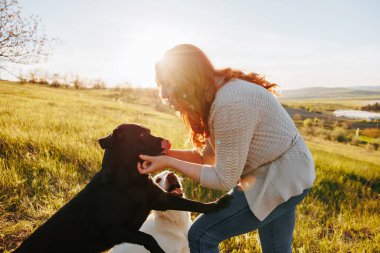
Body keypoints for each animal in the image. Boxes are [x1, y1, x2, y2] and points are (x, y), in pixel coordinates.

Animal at [13, 123, 230, 252]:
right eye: (142, 134)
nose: (167, 142)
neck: (130, 182)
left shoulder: (161, 199)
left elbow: (193, 204)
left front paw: (218, 204)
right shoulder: (117, 230)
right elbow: (149, 238)